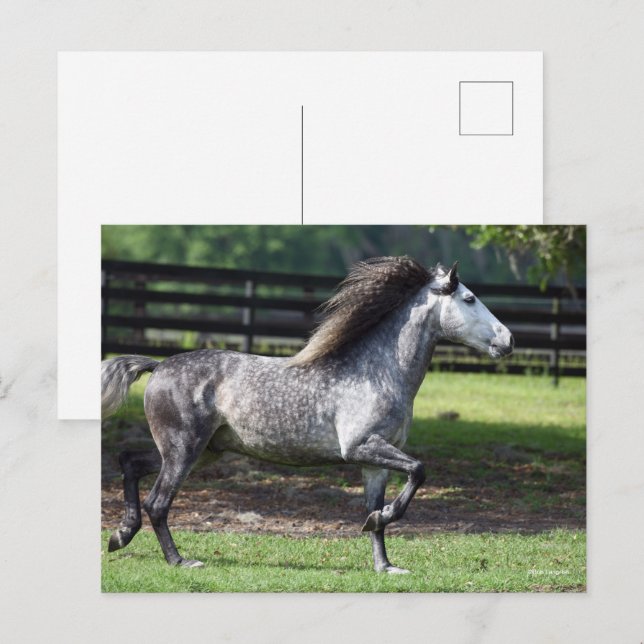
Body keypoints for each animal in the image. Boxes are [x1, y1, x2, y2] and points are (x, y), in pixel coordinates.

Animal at [102, 256, 513, 574]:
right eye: (470, 298)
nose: (508, 340)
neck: (378, 371)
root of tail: (158, 366)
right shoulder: (361, 447)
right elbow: (418, 471)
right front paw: (380, 525)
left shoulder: (375, 462)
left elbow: (380, 507)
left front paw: (385, 564)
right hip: (184, 449)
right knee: (158, 502)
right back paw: (179, 561)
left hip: (201, 452)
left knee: (131, 462)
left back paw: (120, 535)